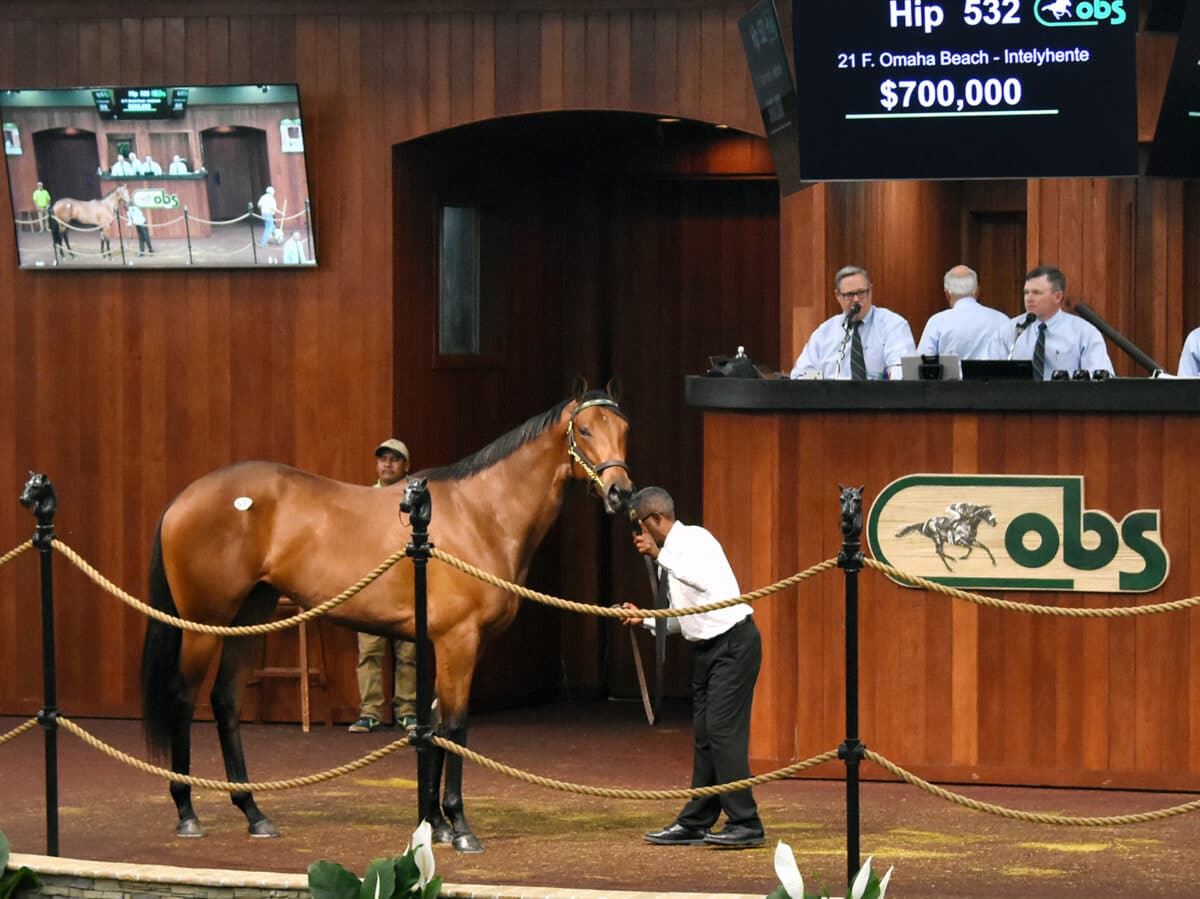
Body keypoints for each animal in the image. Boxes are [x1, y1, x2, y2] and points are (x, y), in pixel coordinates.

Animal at [0, 82, 316, 268]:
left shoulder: (106, 225)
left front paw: (108, 253)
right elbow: (106, 240)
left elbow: (106, 240)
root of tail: (55, 203)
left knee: (62, 236)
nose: (129, 202)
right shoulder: (105, 224)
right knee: (60, 236)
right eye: (124, 192)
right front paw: (108, 254)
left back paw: (69, 253)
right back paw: (67, 254)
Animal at [138, 386, 638, 849]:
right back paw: (187, 813)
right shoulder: (459, 640)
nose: (621, 493)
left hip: (249, 618)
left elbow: (433, 725)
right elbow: (456, 726)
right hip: (202, 626)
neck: (480, 513)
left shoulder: (452, 645)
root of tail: (182, 499)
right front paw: (460, 827)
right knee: (184, 698)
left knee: (225, 701)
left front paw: (435, 823)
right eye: (585, 430)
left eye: (624, 429)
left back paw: (254, 813)